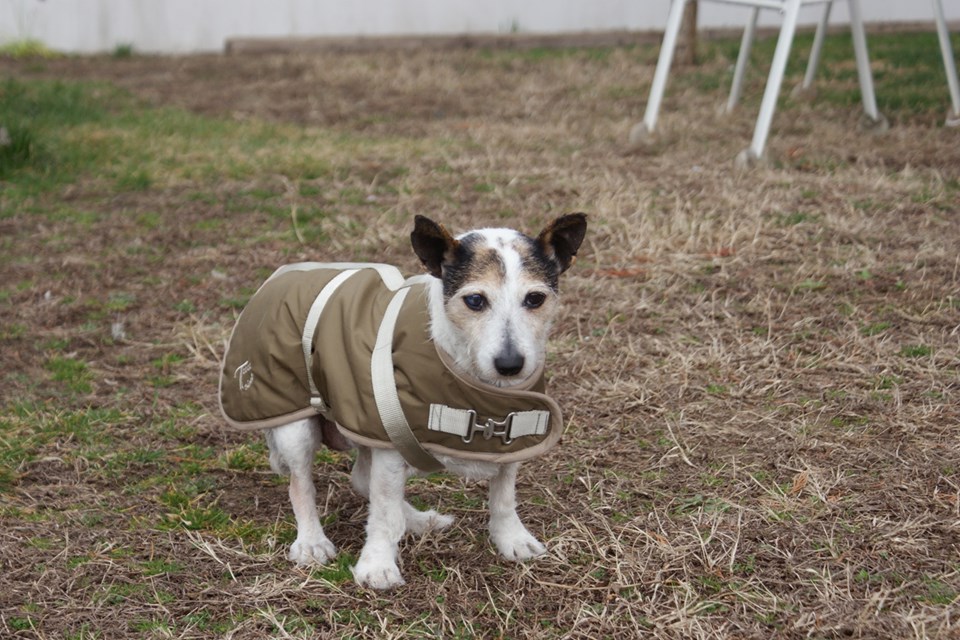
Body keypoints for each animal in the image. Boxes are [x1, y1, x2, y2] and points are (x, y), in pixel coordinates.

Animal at [220, 214, 584, 592]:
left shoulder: (511, 438)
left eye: (535, 298)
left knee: (362, 479)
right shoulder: (389, 443)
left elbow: (503, 497)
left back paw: (419, 520)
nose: (510, 364)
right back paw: (311, 541)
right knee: (302, 483)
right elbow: (383, 513)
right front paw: (377, 564)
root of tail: (275, 281)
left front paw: (511, 538)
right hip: (296, 426)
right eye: (475, 301)